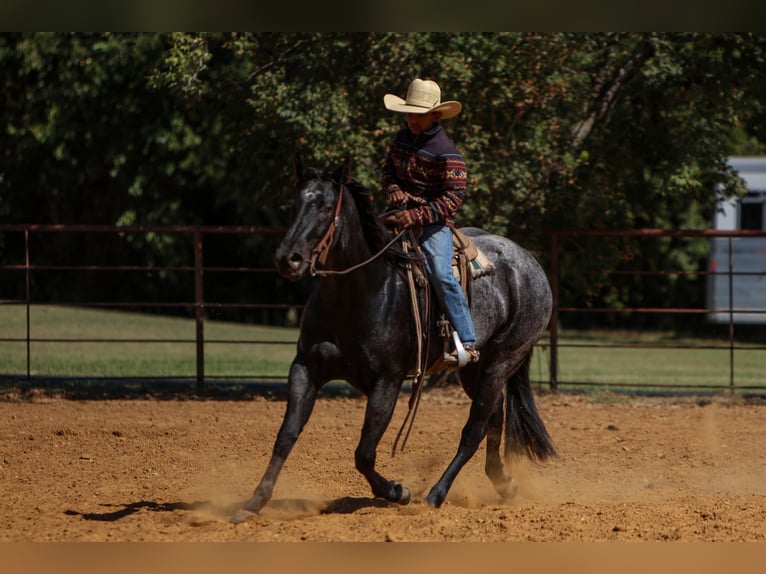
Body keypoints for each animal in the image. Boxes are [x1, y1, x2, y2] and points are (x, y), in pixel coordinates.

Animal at [231, 160, 556, 524]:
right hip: (475, 368)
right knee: (494, 414)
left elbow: (364, 453)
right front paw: (254, 502)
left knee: (474, 428)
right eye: (294, 204)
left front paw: (398, 491)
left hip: (503, 359)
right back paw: (503, 483)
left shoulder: (386, 382)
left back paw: (436, 494)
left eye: (326, 208)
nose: (289, 259)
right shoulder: (305, 368)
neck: (360, 292)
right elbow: (286, 436)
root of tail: (529, 262)